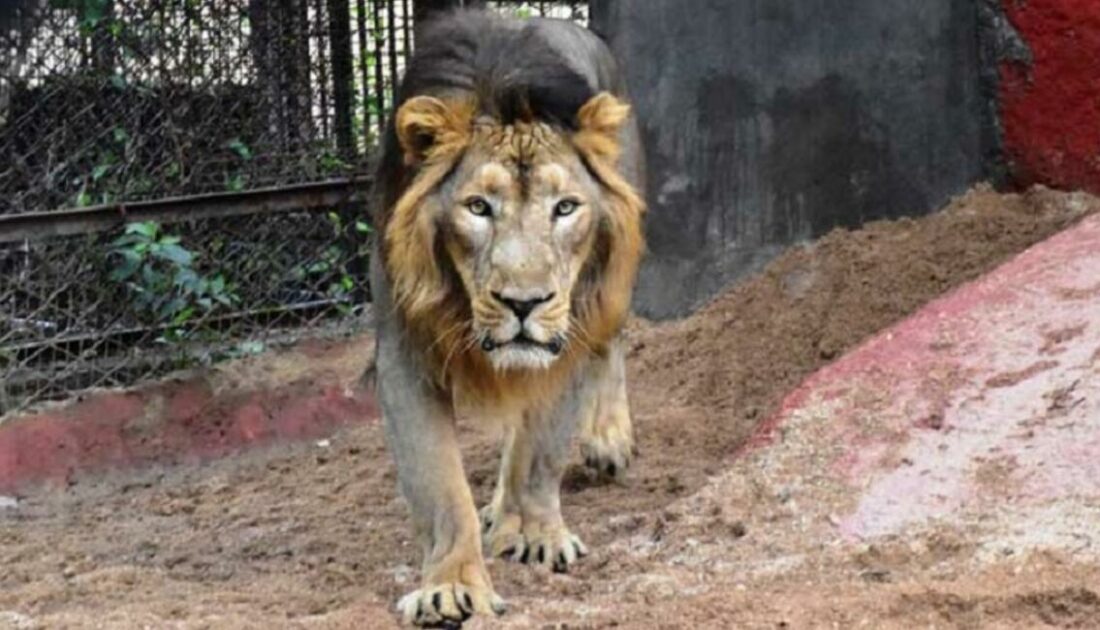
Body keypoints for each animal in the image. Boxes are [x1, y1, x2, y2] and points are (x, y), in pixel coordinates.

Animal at [369, 8, 642, 624]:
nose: (524, 302)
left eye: (564, 208)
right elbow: (441, 486)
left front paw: (540, 533)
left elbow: (542, 450)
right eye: (477, 207)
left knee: (610, 344)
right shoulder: (404, 354)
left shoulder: (567, 332)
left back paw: (605, 440)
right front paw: (451, 584)